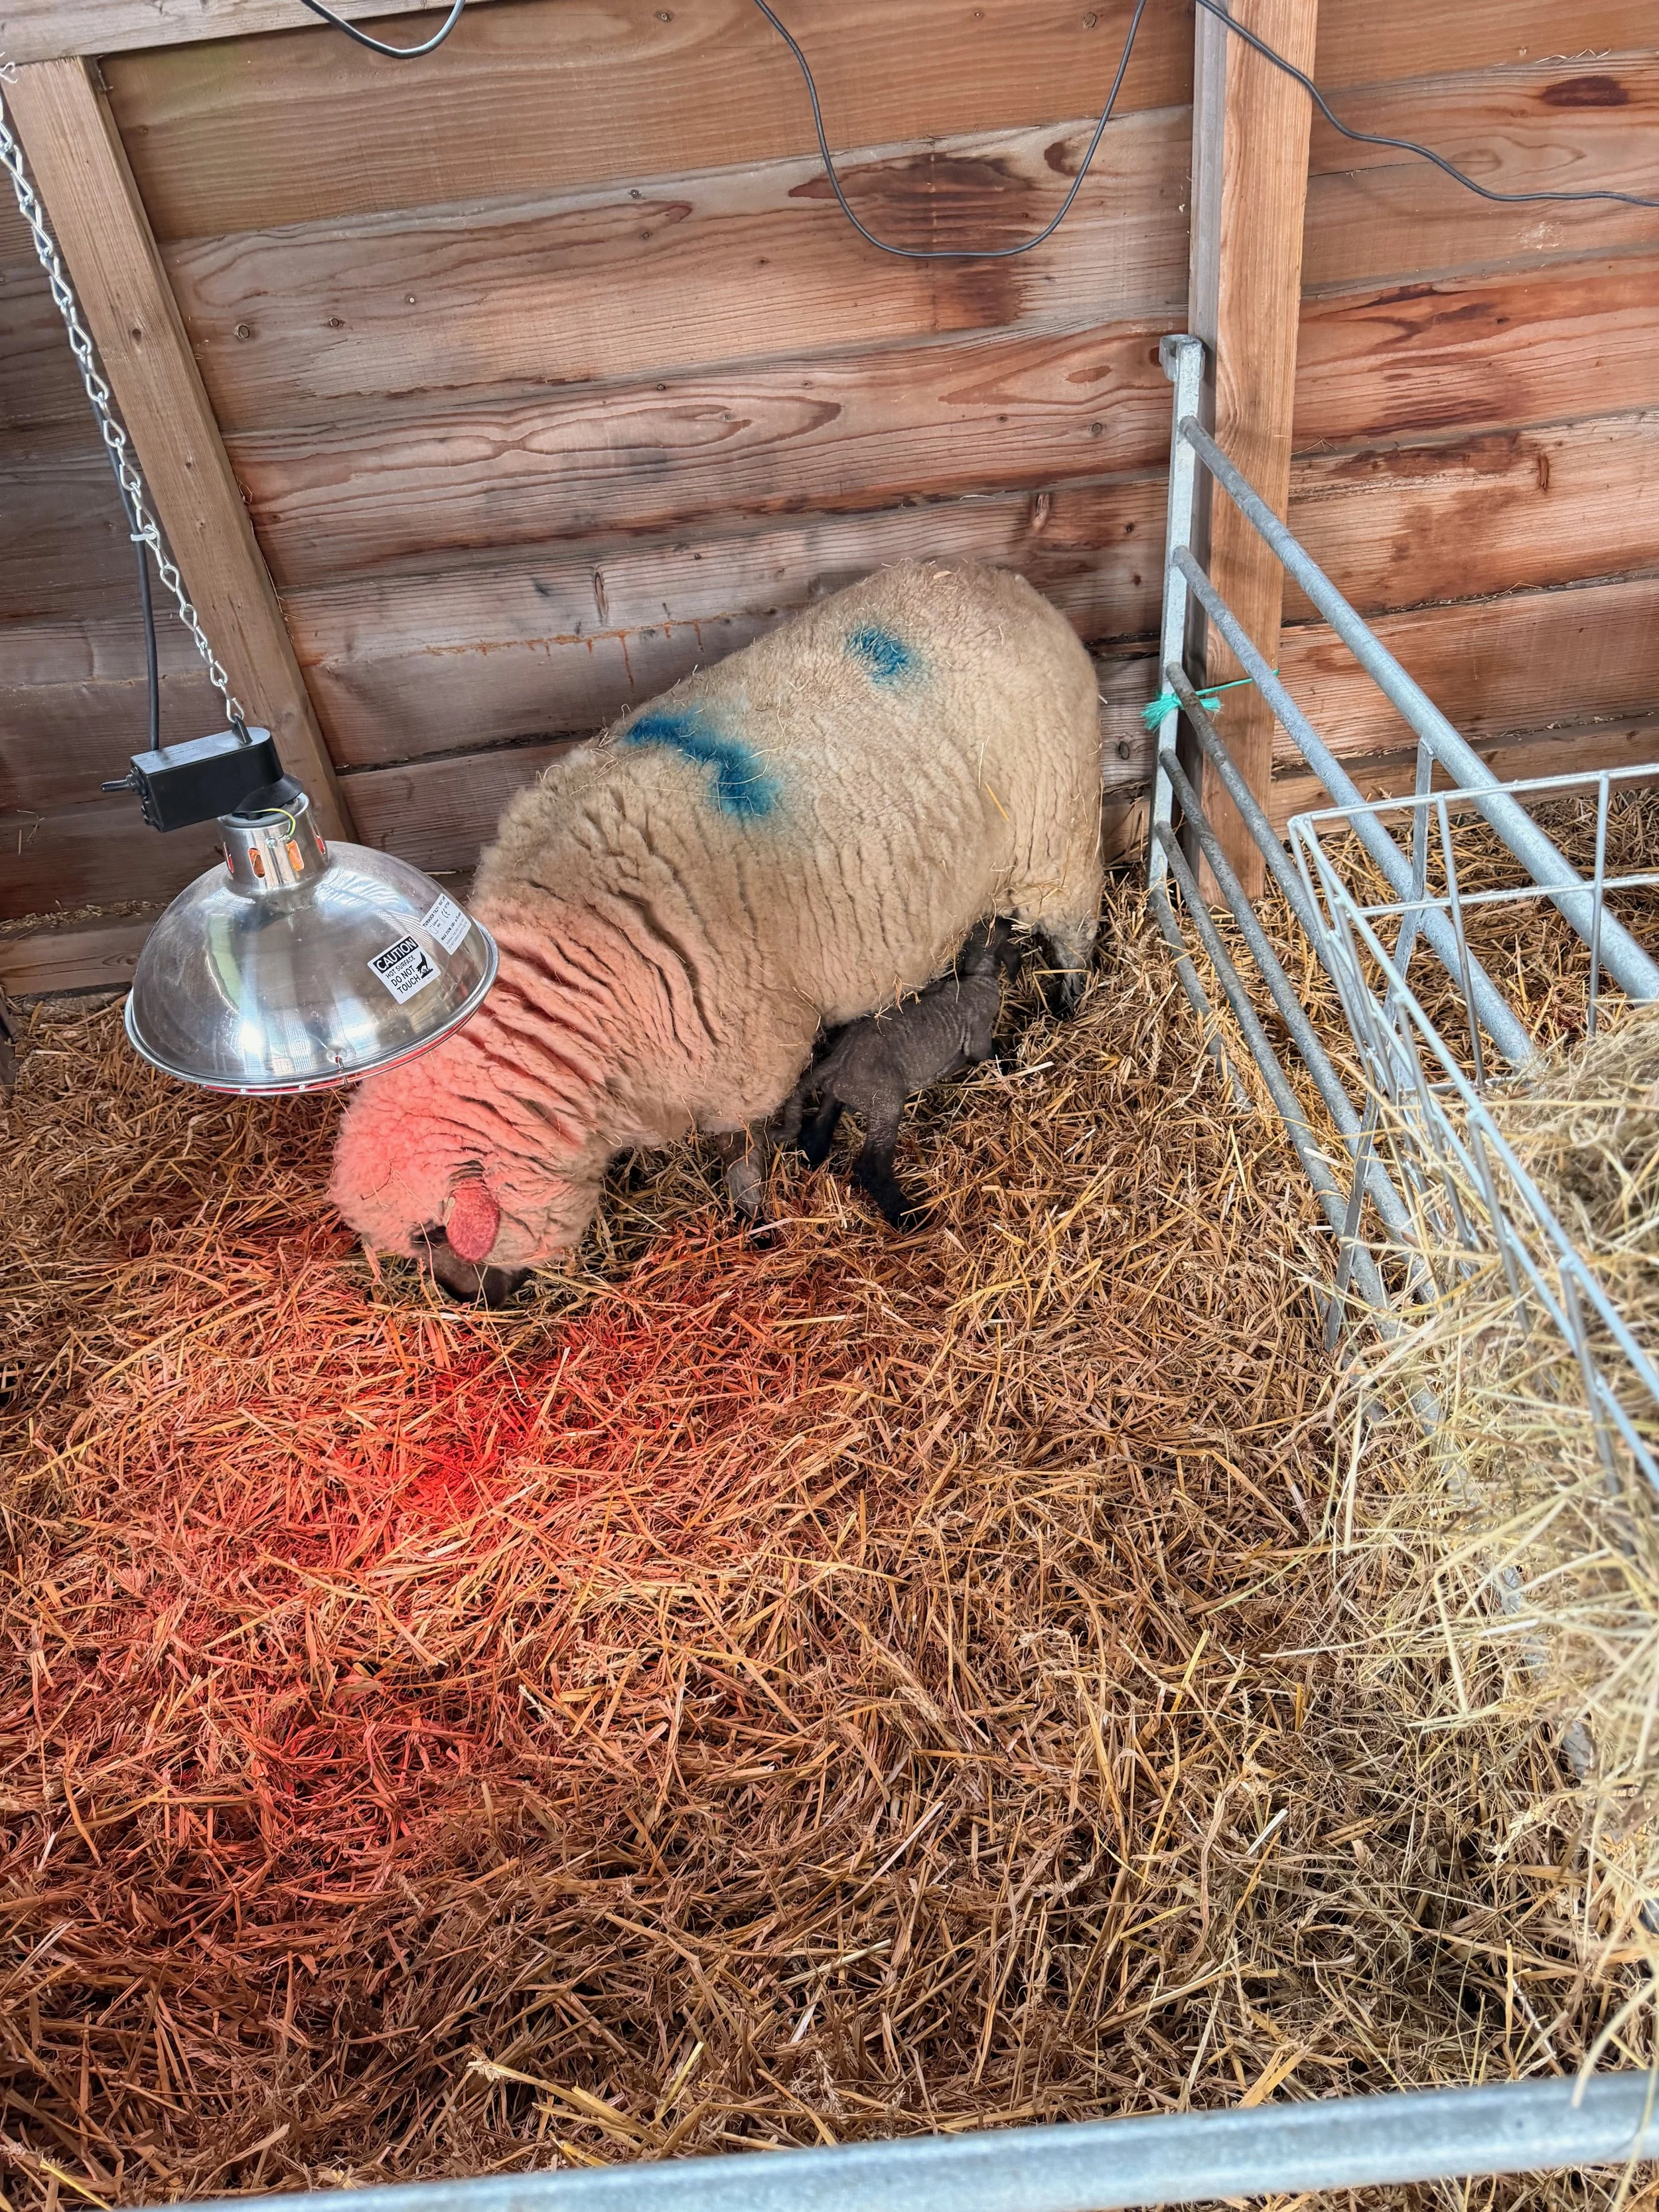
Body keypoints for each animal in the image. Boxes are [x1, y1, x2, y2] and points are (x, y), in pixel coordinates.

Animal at [777, 915, 1026, 1229]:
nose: (1011, 918)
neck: (974, 977)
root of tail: (838, 1060)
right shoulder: (980, 1035)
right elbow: (991, 1056)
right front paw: (1013, 1063)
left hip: (843, 1092)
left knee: (818, 1129)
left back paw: (813, 1159)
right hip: (886, 1103)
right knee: (872, 1166)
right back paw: (906, 1216)